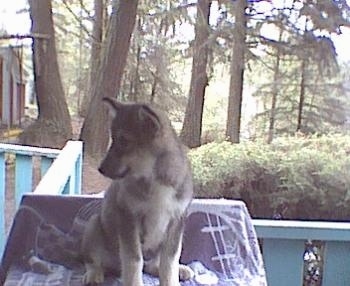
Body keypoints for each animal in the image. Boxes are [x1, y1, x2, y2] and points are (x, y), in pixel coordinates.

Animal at [82, 97, 194, 284]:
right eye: (113, 139)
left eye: (124, 141)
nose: (100, 169)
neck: (154, 179)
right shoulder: (128, 217)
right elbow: (134, 260)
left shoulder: (177, 221)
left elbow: (169, 261)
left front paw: (172, 278)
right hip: (93, 225)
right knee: (94, 261)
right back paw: (94, 274)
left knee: (152, 265)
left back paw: (181, 270)